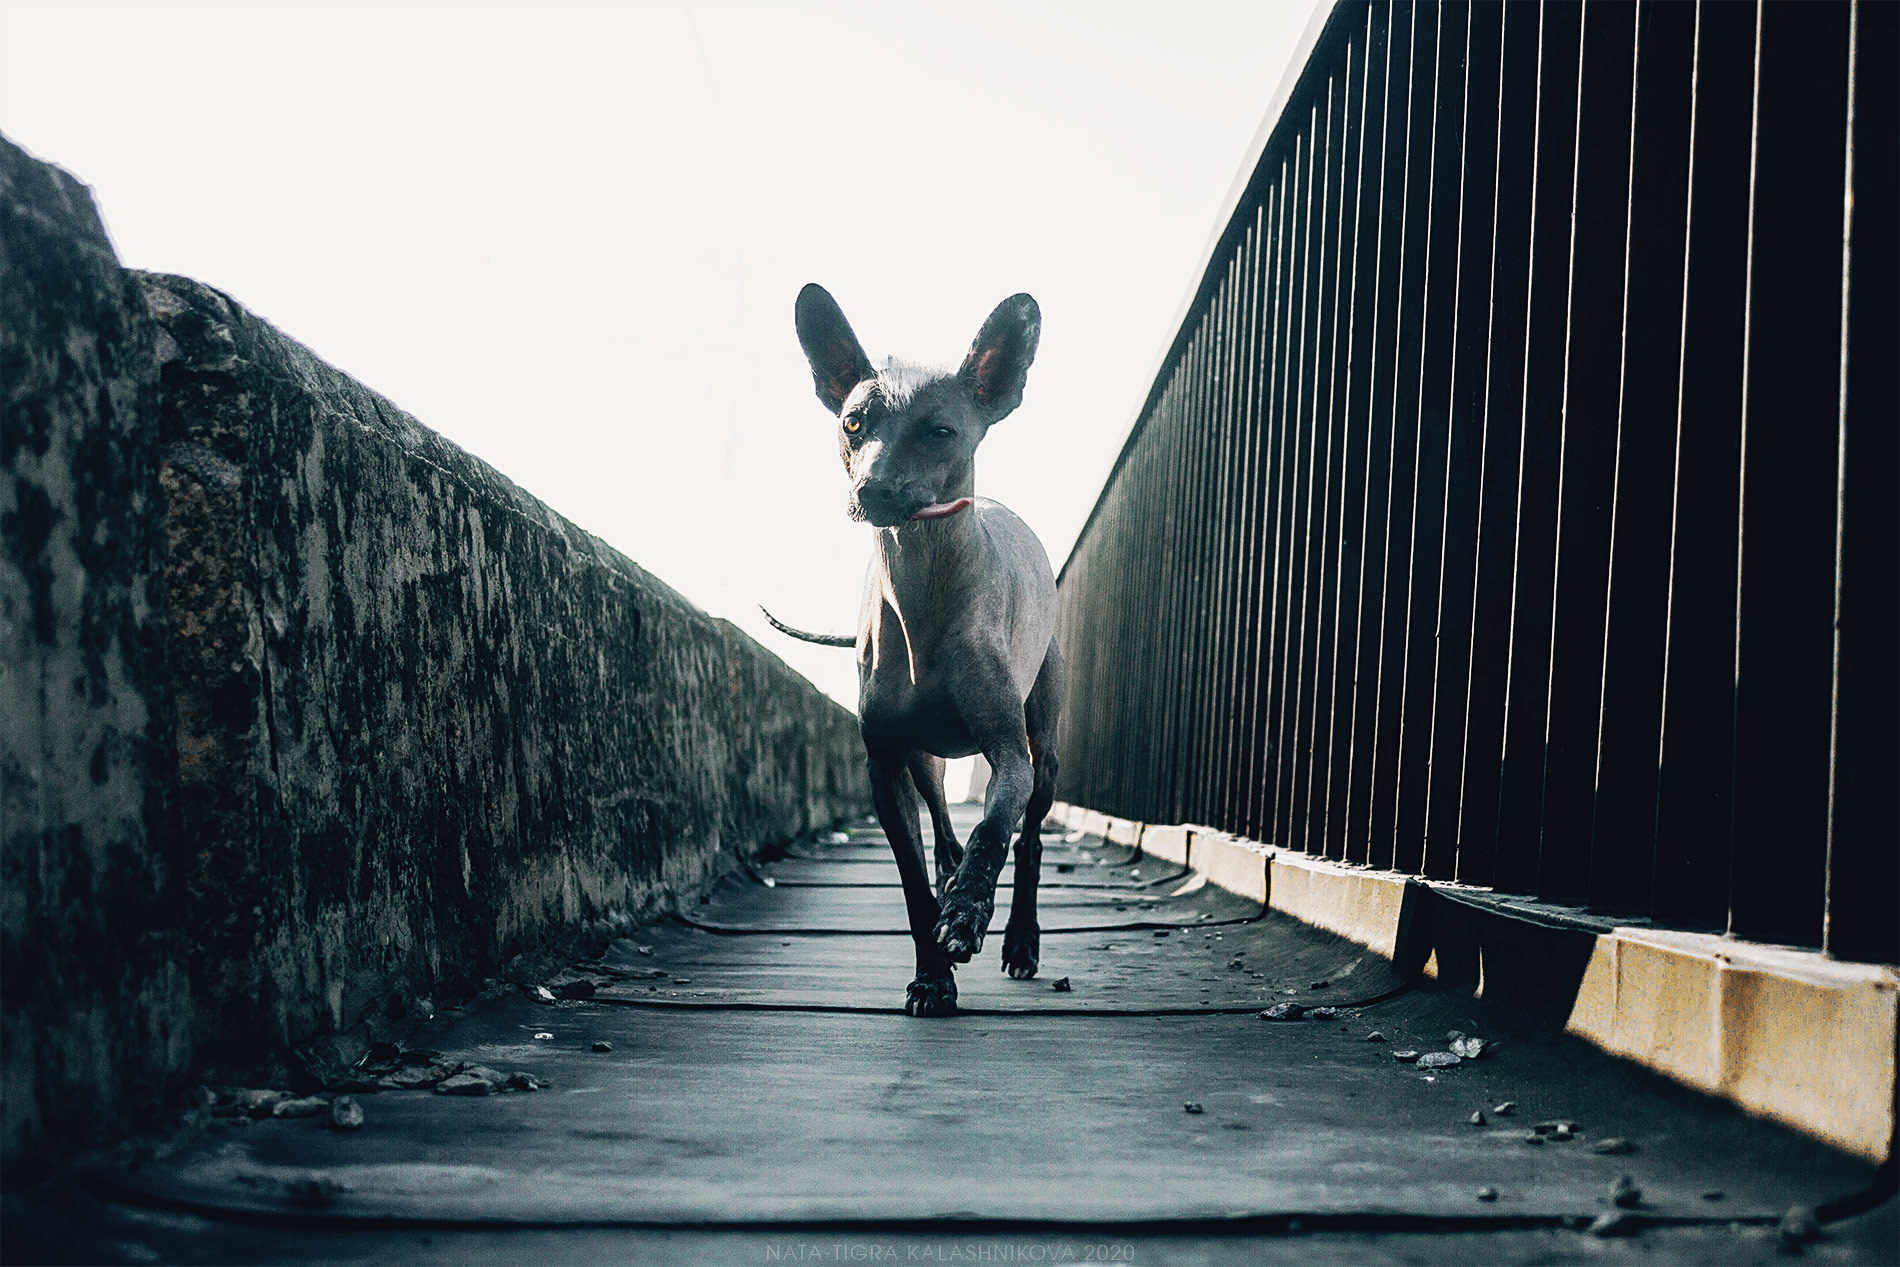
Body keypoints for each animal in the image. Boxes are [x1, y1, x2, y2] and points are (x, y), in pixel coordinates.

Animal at [763, 283, 1064, 1018]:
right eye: (853, 424)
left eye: (940, 431)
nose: (871, 489)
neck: (924, 594)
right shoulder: (884, 763)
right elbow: (910, 876)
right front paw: (933, 973)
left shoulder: (1009, 753)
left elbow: (996, 829)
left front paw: (967, 916)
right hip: (926, 759)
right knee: (944, 822)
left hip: (1044, 748)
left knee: (1030, 839)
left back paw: (1019, 937)